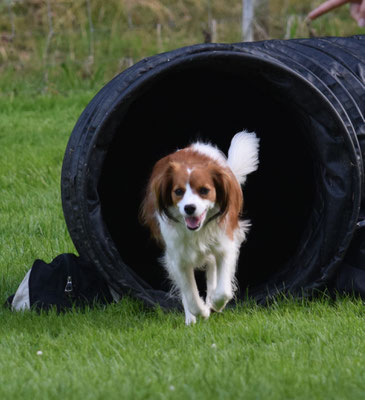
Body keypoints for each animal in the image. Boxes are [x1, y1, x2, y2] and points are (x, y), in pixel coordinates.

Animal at [140, 131, 258, 324]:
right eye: (178, 191)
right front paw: (201, 311)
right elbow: (190, 296)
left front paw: (215, 304)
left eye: (204, 190)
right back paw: (191, 317)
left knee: (212, 271)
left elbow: (223, 290)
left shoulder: (225, 245)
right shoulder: (179, 259)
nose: (189, 208)